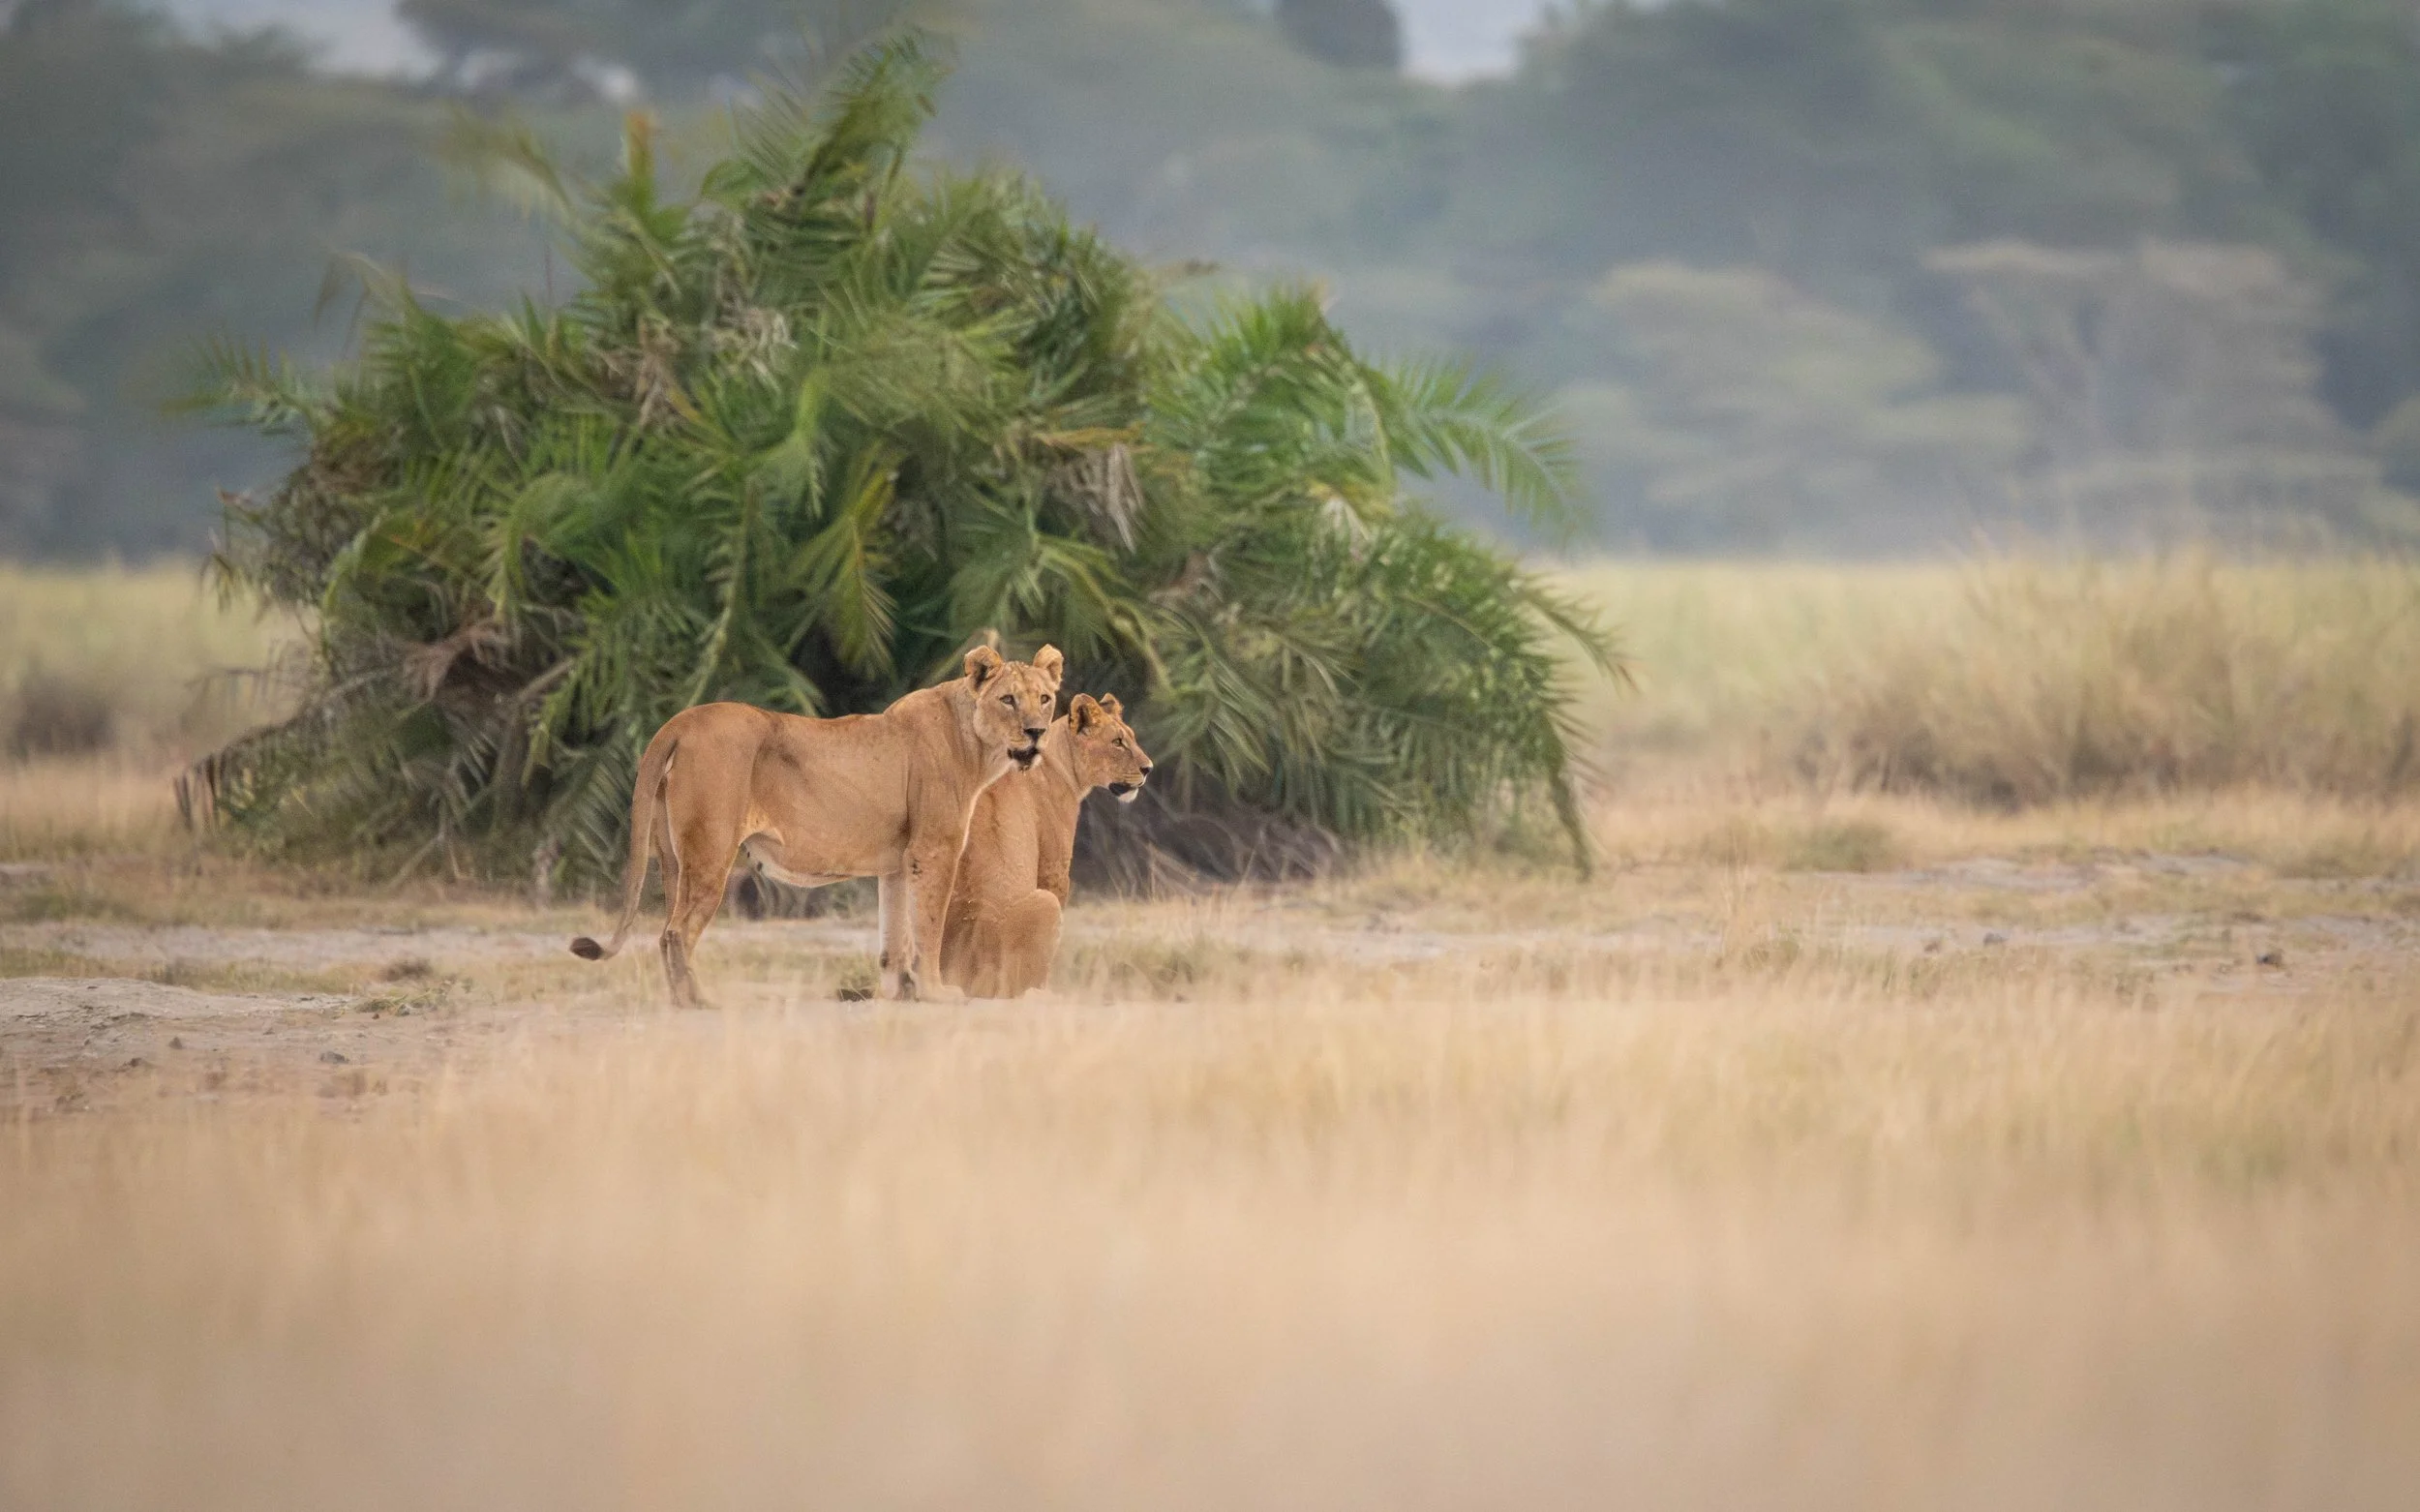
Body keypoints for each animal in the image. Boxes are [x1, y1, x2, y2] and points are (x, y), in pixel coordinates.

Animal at [569, 645, 1064, 1006]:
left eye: (1045, 698)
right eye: (1008, 699)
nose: (1037, 732)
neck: (976, 743)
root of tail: (681, 720)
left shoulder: (898, 862)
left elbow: (894, 935)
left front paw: (897, 994)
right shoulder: (933, 850)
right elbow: (928, 926)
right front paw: (936, 992)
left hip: (675, 859)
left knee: (664, 931)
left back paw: (680, 1000)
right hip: (712, 854)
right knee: (677, 932)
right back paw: (698, 1001)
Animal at [938, 692, 1152, 999]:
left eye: (1131, 738)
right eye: (1117, 742)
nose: (1149, 768)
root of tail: (960, 968)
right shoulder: (1055, 867)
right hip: (1042, 906)